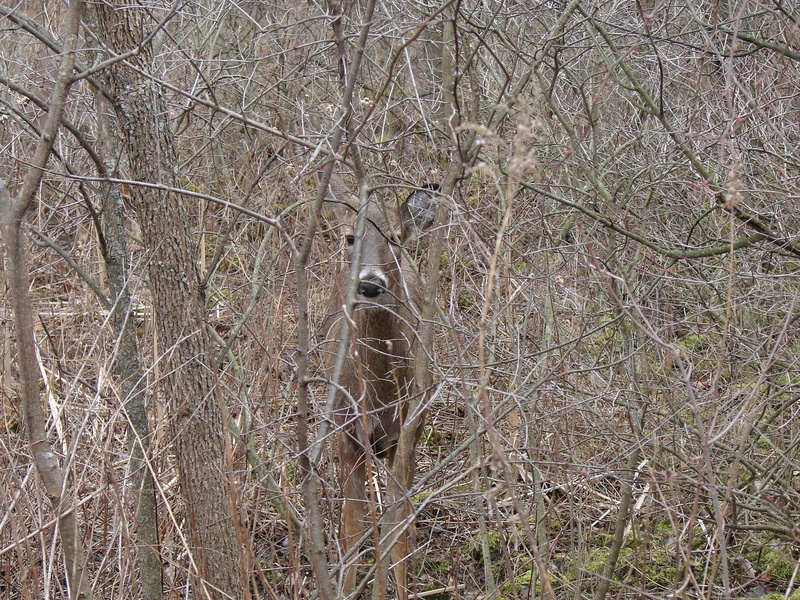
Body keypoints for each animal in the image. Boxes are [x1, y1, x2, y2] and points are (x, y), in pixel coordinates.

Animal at [321, 172, 437, 600]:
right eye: (350, 237)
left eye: (395, 236)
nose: (370, 285)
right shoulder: (347, 434)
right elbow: (352, 530)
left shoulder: (408, 431)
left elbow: (394, 532)